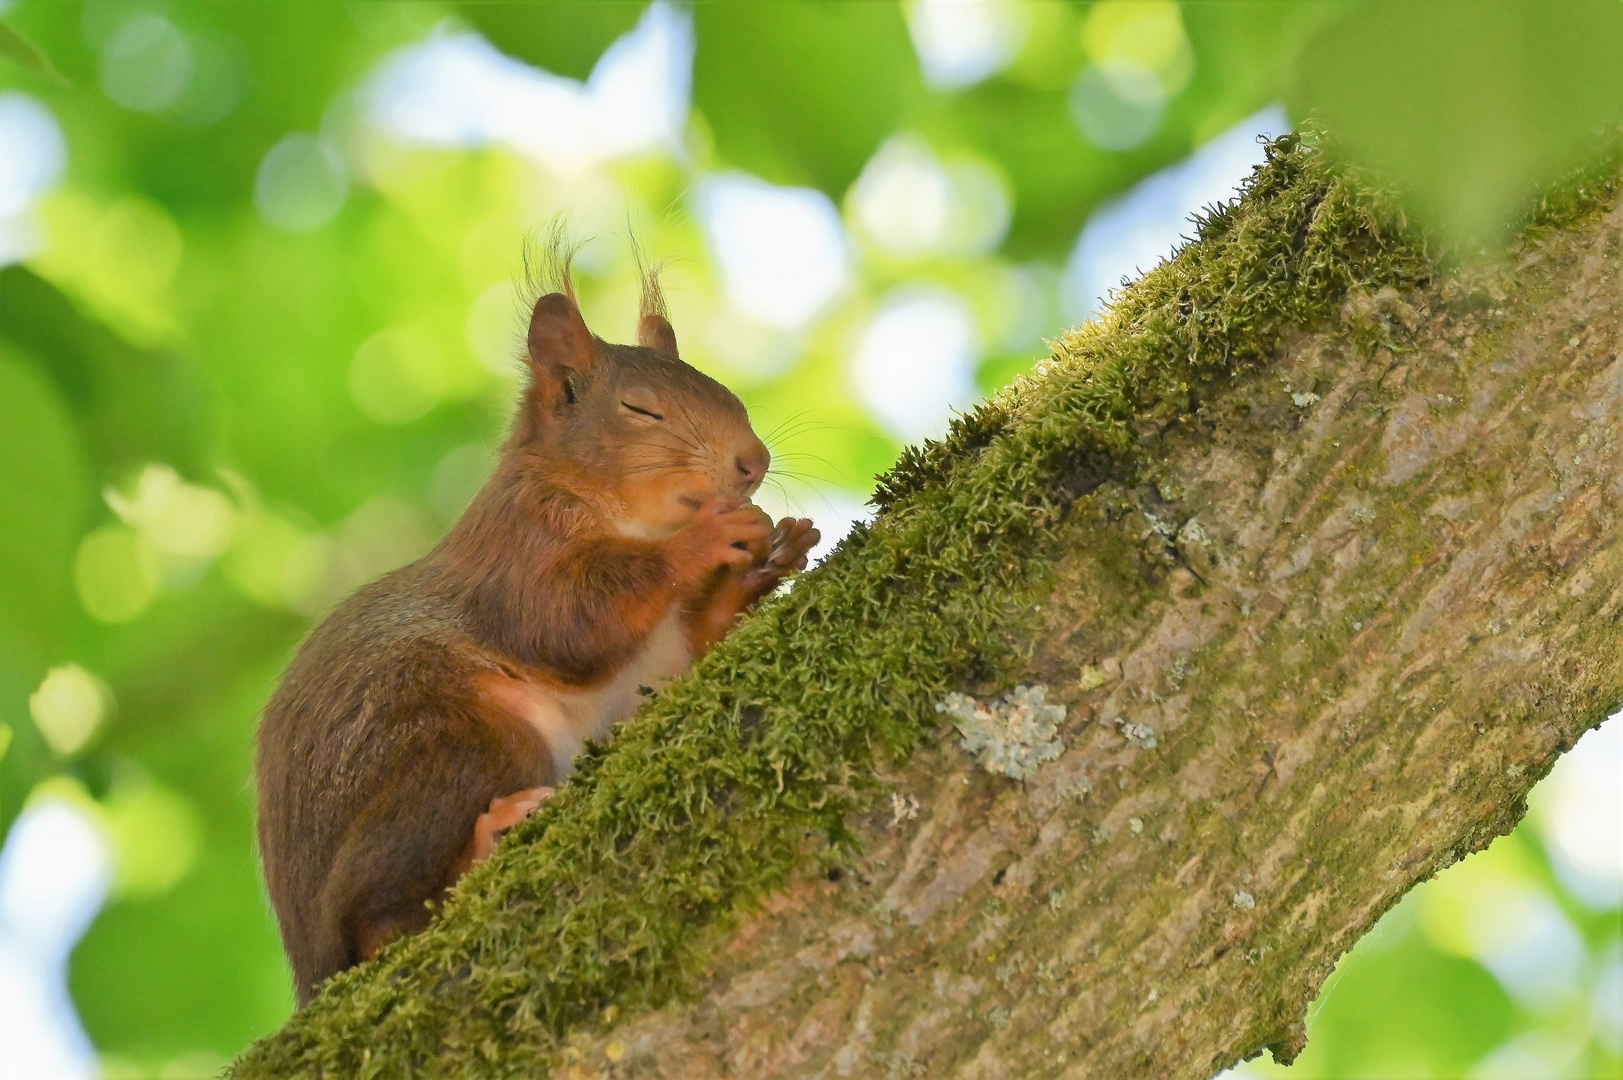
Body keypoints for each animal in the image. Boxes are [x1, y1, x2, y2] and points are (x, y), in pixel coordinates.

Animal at [258, 259, 817, 1000]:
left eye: (729, 394)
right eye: (641, 409)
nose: (753, 462)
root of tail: (306, 964)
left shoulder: (663, 657)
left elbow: (692, 648)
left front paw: (772, 557)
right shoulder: (517, 547)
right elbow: (565, 624)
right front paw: (705, 541)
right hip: (457, 742)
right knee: (375, 923)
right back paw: (483, 844)